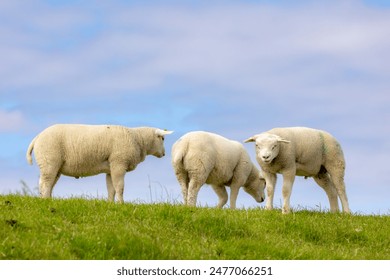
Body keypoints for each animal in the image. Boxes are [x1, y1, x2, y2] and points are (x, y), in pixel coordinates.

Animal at [26, 123, 173, 202]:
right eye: (163, 138)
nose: (164, 154)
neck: (138, 139)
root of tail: (37, 137)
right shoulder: (119, 163)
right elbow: (120, 187)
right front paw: (121, 203)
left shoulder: (111, 168)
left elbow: (111, 189)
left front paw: (110, 204)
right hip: (49, 161)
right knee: (45, 183)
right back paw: (46, 201)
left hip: (54, 165)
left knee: (49, 184)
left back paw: (48, 199)